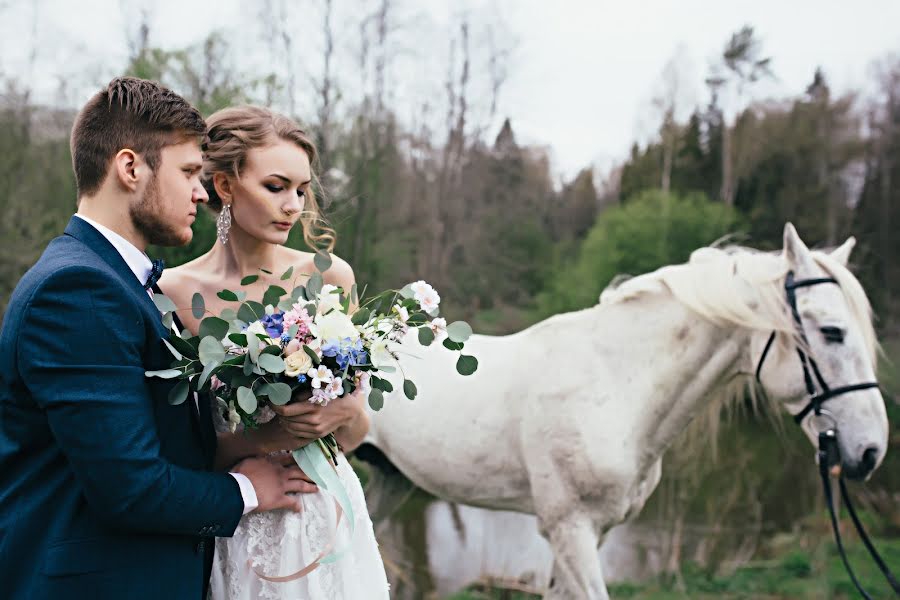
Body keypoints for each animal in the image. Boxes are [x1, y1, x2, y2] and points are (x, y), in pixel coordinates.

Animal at [362, 223, 888, 596]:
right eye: (832, 332)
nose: (871, 450)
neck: (614, 387)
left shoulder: (593, 534)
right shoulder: (569, 530)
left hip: (389, 483)